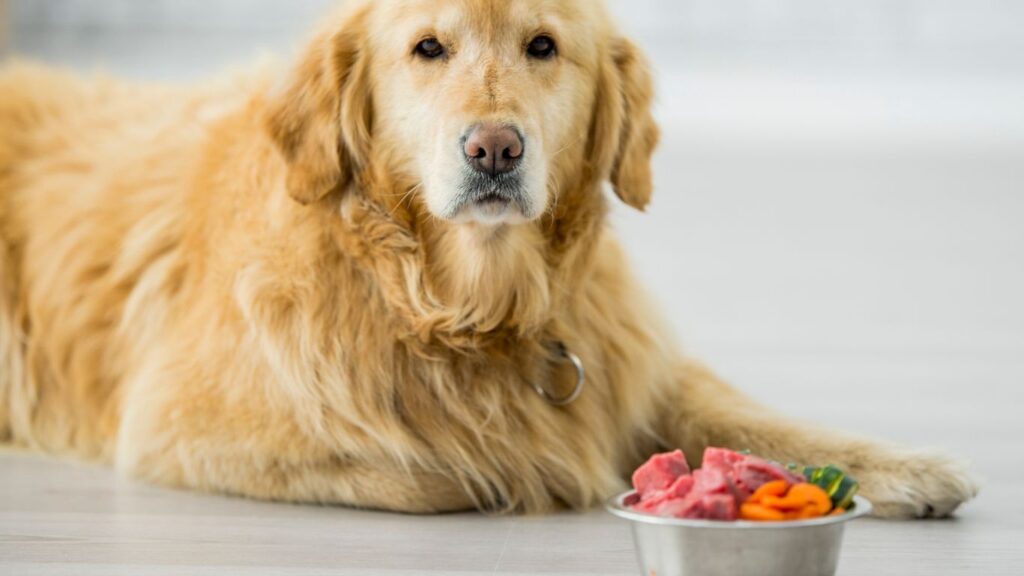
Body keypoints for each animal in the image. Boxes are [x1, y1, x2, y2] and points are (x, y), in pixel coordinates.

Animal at [0, 0, 974, 512]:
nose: (495, 149)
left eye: (543, 46)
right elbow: (451, 465)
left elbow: (755, 419)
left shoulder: (634, 365)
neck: (460, 305)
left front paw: (908, 465)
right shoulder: (183, 429)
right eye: (428, 47)